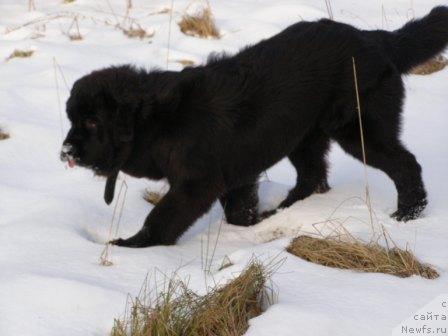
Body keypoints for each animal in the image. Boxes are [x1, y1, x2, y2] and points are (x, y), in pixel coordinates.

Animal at [60, 7, 448, 247]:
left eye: (92, 121)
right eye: (72, 120)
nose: (65, 151)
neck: (156, 122)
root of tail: (378, 39)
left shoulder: (196, 183)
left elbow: (163, 216)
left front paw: (134, 246)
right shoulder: (236, 174)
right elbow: (239, 209)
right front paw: (247, 229)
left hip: (359, 131)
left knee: (405, 164)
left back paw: (407, 213)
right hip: (304, 136)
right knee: (313, 177)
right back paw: (284, 211)